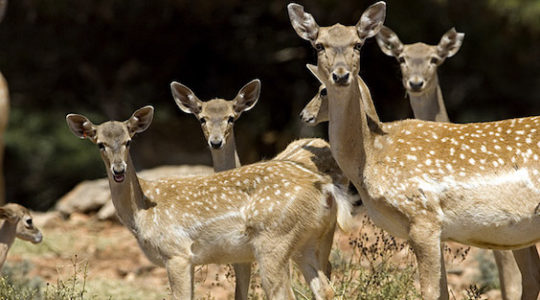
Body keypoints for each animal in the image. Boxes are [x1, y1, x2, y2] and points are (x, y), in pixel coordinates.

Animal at [66, 105, 354, 298]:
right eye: (100, 144)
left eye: (128, 141)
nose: (118, 170)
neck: (142, 212)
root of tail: (325, 187)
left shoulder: (176, 252)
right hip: (306, 242)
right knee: (325, 290)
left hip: (274, 239)